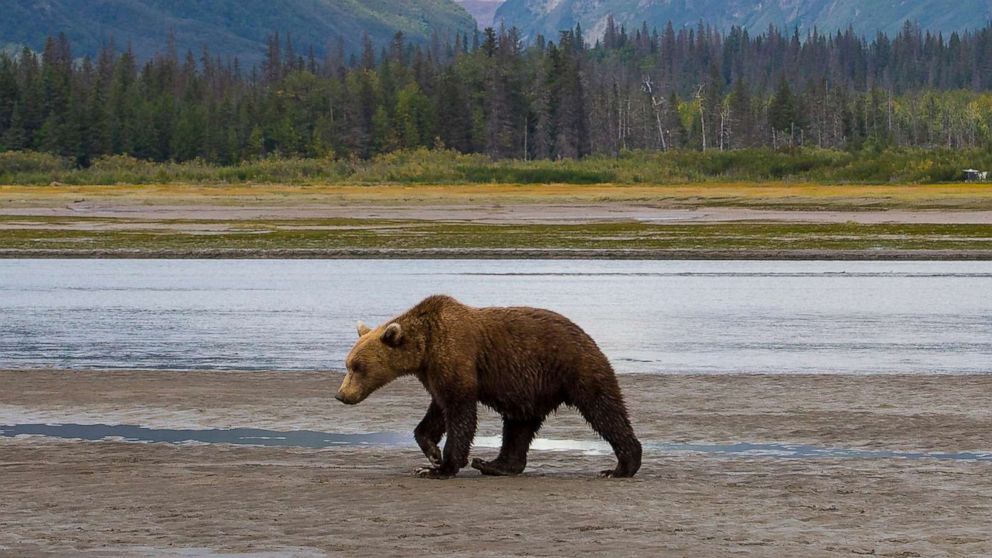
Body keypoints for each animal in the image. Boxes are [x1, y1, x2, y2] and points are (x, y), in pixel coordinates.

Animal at [335, 295, 642, 479]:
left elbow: (460, 413)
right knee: (519, 426)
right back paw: (495, 465)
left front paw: (441, 467)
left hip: (575, 367)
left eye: (357, 367)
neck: (424, 347)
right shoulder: (434, 372)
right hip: (530, 387)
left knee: (603, 410)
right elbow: (437, 411)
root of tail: (586, 335)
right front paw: (431, 454)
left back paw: (621, 467)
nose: (341, 395)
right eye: (347, 363)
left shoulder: (457, 356)